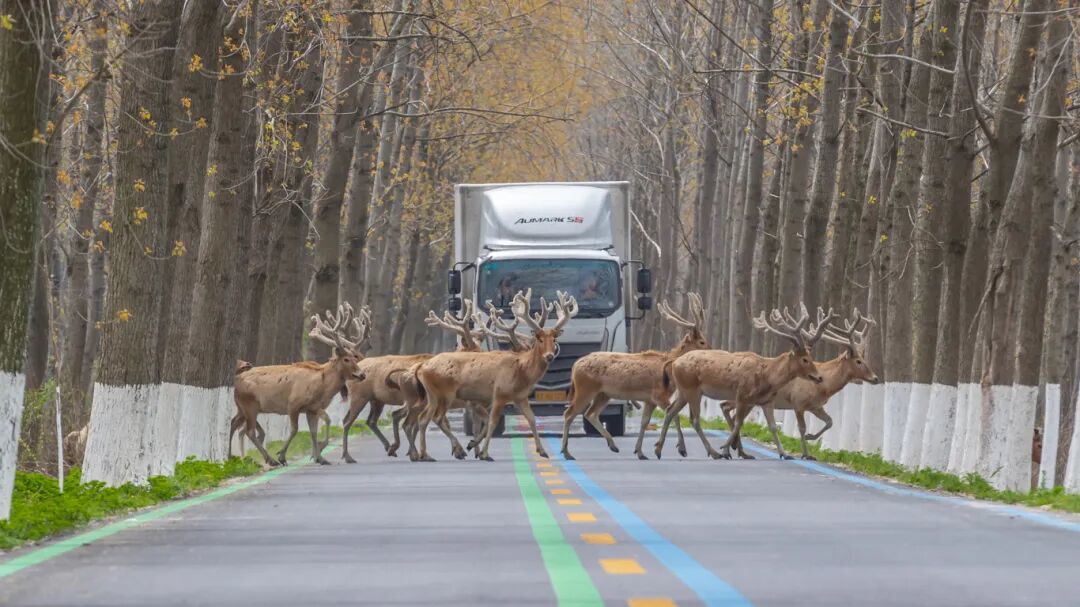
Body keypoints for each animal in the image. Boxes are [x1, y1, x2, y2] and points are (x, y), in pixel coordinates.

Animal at [229, 303, 369, 466]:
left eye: (354, 357)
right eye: (347, 359)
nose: (362, 374)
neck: (320, 386)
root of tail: (236, 380)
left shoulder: (312, 408)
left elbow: (314, 431)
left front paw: (320, 458)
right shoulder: (293, 404)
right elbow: (294, 429)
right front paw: (282, 456)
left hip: (242, 407)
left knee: (234, 424)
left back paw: (231, 456)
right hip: (249, 404)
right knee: (249, 431)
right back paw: (271, 460)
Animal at [413, 289, 578, 461]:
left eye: (554, 339)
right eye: (539, 339)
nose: (550, 356)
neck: (522, 372)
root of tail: (422, 368)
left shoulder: (521, 397)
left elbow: (531, 419)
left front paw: (542, 451)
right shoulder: (499, 393)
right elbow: (492, 422)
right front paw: (485, 453)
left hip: (433, 395)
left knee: (423, 418)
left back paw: (426, 454)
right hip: (446, 393)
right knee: (437, 418)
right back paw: (457, 450)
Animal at [559, 292, 710, 461]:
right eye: (702, 341)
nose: (711, 350)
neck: (670, 369)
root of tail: (575, 366)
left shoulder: (650, 400)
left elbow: (645, 422)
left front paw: (640, 452)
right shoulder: (658, 395)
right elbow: (673, 416)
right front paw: (681, 449)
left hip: (603, 394)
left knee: (590, 414)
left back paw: (613, 445)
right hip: (585, 389)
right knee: (569, 413)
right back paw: (567, 452)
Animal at [654, 304, 833, 460]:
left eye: (810, 357)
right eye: (804, 359)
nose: (819, 377)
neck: (767, 377)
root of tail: (674, 363)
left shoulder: (766, 401)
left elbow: (773, 426)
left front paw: (784, 454)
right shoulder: (742, 395)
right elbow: (738, 423)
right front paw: (726, 450)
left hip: (684, 391)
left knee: (670, 411)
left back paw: (660, 449)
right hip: (691, 389)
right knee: (695, 419)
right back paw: (714, 452)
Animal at [720, 309, 880, 460]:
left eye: (864, 359)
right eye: (858, 361)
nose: (875, 378)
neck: (825, 386)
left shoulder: (815, 406)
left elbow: (830, 421)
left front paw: (811, 437)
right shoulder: (798, 402)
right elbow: (802, 428)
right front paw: (806, 453)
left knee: (730, 411)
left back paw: (736, 447)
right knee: (727, 408)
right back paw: (733, 447)